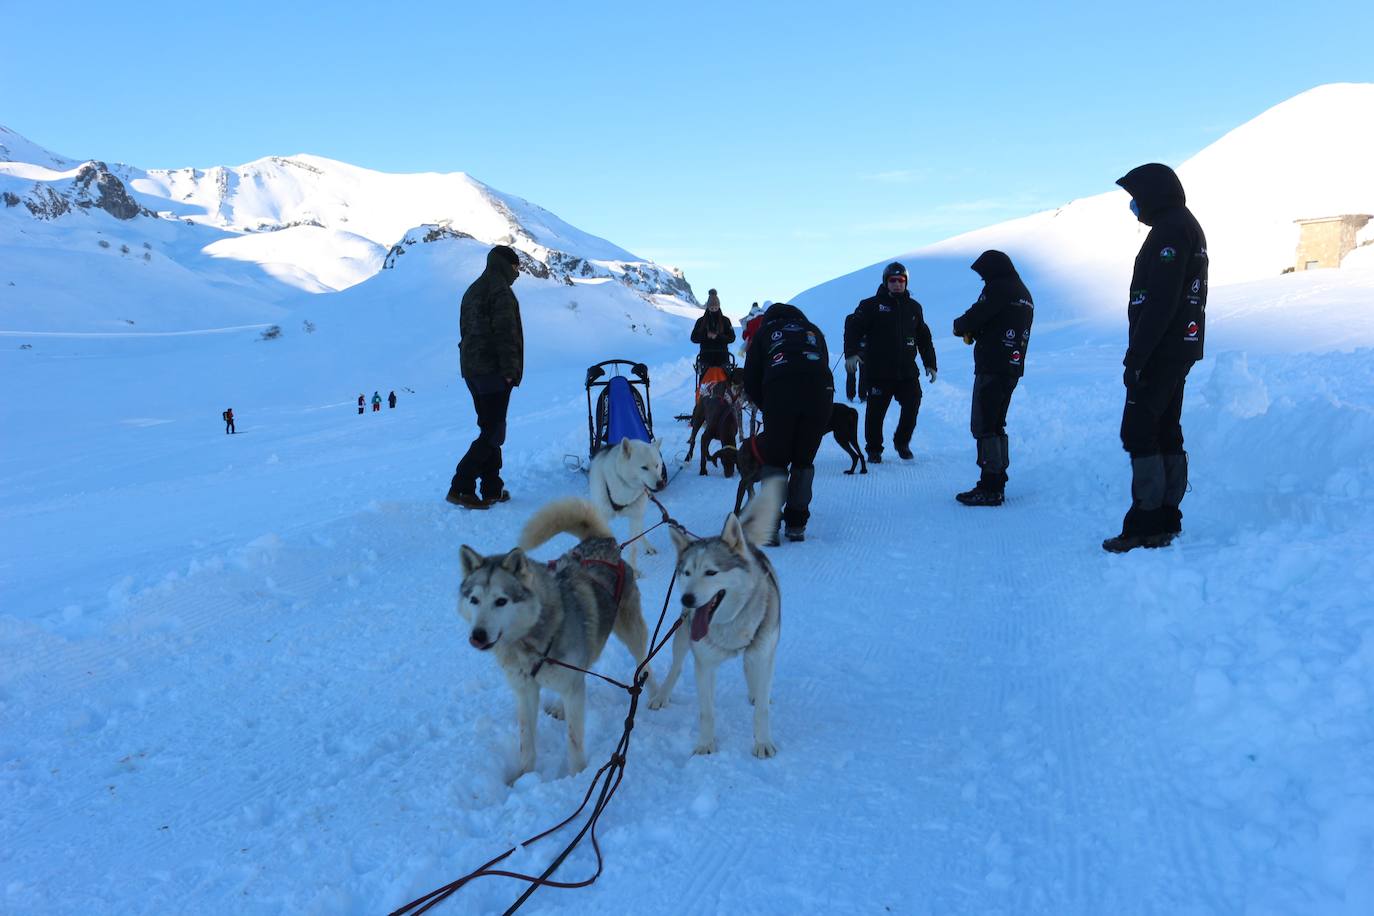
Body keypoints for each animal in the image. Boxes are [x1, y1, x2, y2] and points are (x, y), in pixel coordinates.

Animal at [458, 497, 656, 780]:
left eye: (501, 601)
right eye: (474, 599)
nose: (477, 635)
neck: (529, 643)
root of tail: (603, 542)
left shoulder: (570, 687)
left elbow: (574, 740)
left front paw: (575, 777)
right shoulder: (525, 691)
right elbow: (526, 740)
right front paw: (523, 776)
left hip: (631, 631)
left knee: (644, 663)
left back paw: (657, 695)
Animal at [585, 436, 665, 574]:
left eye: (657, 465)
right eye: (644, 467)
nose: (660, 483)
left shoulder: (635, 517)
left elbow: (633, 547)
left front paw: (633, 570)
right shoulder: (602, 517)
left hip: (638, 514)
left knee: (640, 531)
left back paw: (647, 546)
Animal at [645, 477, 780, 758]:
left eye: (711, 572)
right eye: (686, 572)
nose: (686, 599)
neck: (730, 625)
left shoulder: (765, 654)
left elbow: (762, 709)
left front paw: (762, 741)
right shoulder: (704, 665)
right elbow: (706, 712)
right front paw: (706, 744)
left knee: (750, 667)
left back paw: (754, 692)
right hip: (682, 634)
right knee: (676, 667)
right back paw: (661, 695)